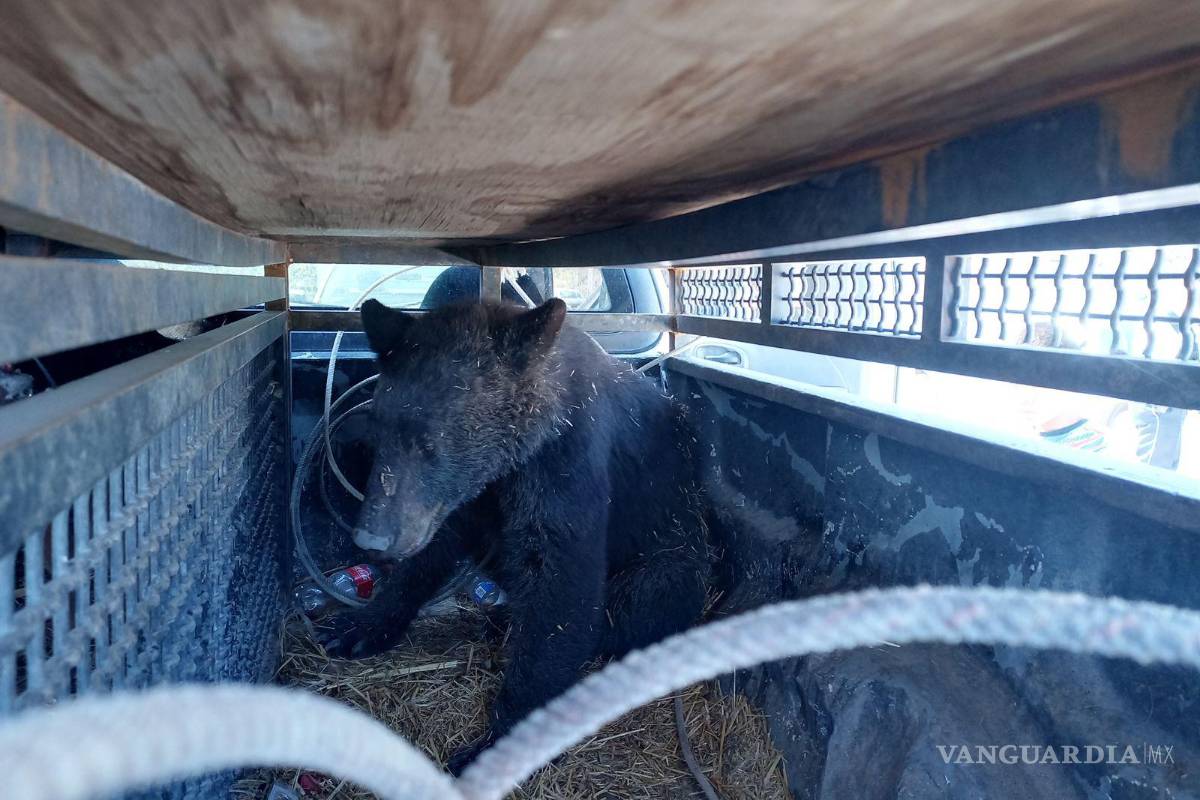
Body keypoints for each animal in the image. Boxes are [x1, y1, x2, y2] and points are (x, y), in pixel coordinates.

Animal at [322, 297, 712, 770]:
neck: (512, 456)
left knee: (640, 601)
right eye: (379, 431)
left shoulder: (567, 462)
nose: (371, 540)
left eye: (431, 443)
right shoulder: (464, 498)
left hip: (676, 553)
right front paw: (359, 626)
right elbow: (434, 547)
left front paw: (498, 740)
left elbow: (560, 588)